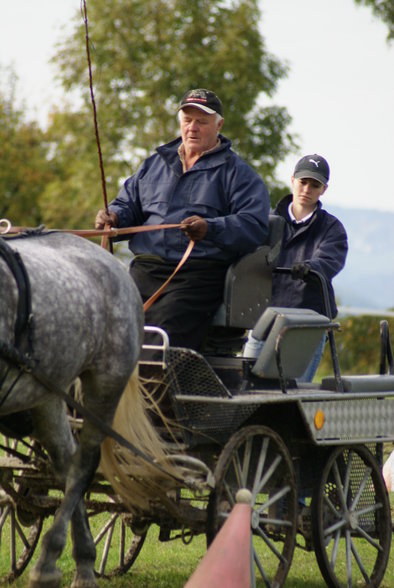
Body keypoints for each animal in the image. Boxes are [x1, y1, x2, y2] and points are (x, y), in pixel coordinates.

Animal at [0, 231, 169, 588]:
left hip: (105, 384)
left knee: (84, 464)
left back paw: (54, 562)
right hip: (48, 392)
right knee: (67, 462)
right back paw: (83, 562)